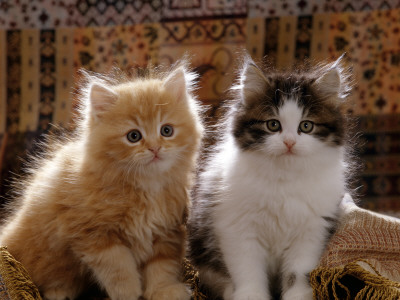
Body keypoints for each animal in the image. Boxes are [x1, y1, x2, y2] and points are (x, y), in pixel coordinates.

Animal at [0, 63, 203, 300]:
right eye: (134, 136)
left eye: (167, 130)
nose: (155, 148)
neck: (145, 186)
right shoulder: (94, 234)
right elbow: (119, 268)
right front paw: (129, 294)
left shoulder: (166, 231)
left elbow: (161, 266)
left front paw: (163, 290)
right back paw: (60, 291)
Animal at [188, 54, 354, 300]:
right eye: (273, 124)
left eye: (306, 126)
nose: (289, 142)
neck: (284, 177)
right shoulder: (237, 229)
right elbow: (247, 270)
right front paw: (250, 296)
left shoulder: (311, 232)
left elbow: (297, 273)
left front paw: (297, 297)